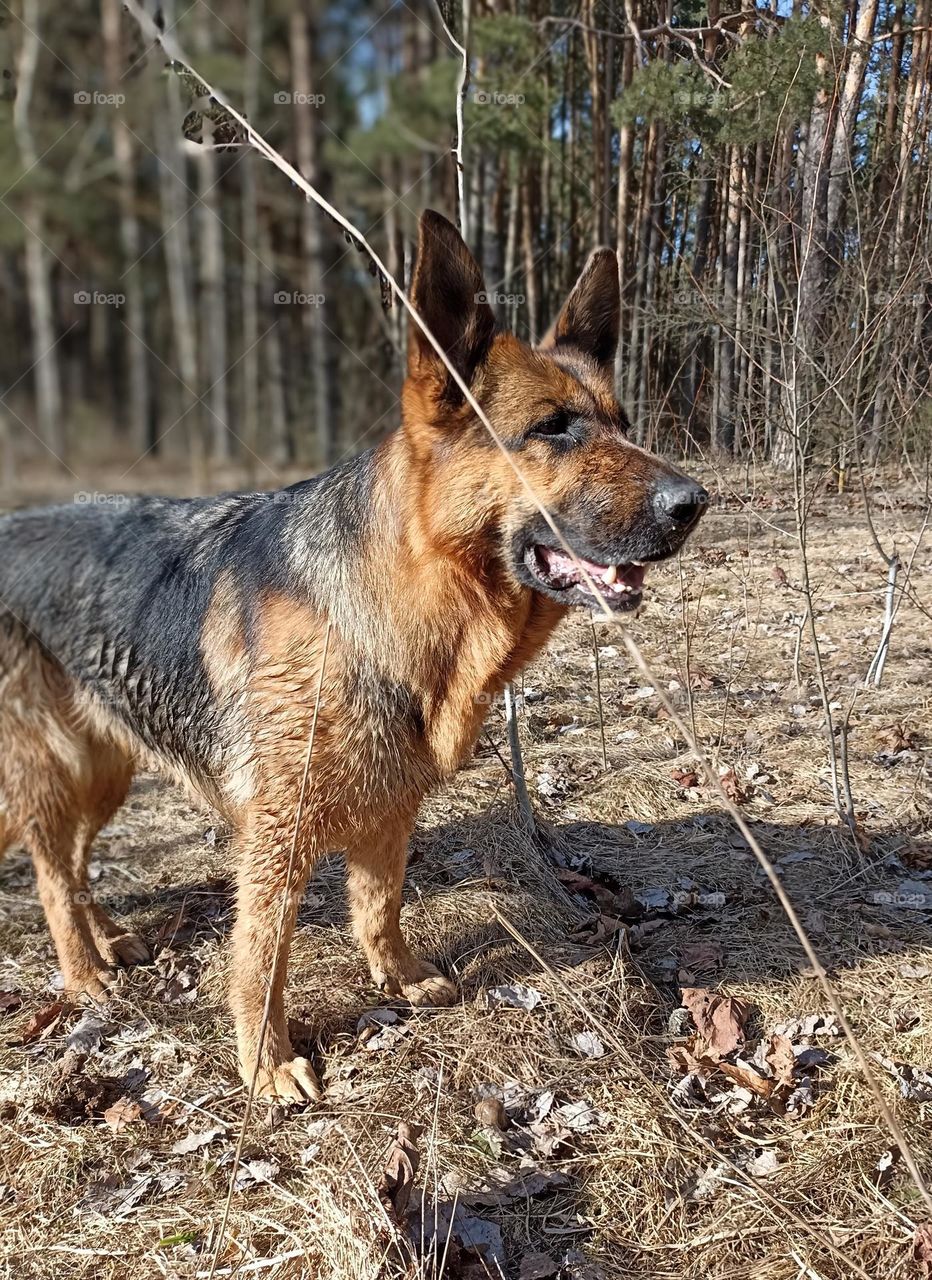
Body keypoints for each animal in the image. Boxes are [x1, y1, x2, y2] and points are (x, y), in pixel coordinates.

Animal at [0, 209, 701, 1100]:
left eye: (622, 425)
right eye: (553, 428)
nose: (695, 504)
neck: (413, 593)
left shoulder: (389, 806)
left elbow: (381, 905)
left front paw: (397, 979)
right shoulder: (276, 836)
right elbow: (263, 955)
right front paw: (267, 1063)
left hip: (107, 768)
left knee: (74, 859)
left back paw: (106, 940)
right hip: (58, 767)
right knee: (52, 875)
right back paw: (83, 973)